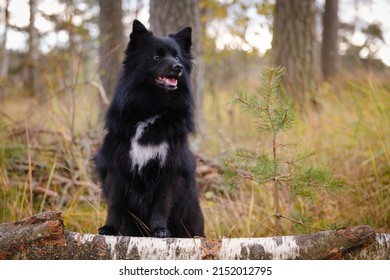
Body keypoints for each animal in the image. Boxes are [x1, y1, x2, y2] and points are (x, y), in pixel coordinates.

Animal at [95, 20, 204, 238]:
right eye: (156, 56)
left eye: (177, 57)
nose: (178, 67)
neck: (152, 110)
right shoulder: (117, 165)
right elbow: (115, 203)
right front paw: (109, 228)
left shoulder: (169, 169)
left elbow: (161, 204)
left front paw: (160, 230)